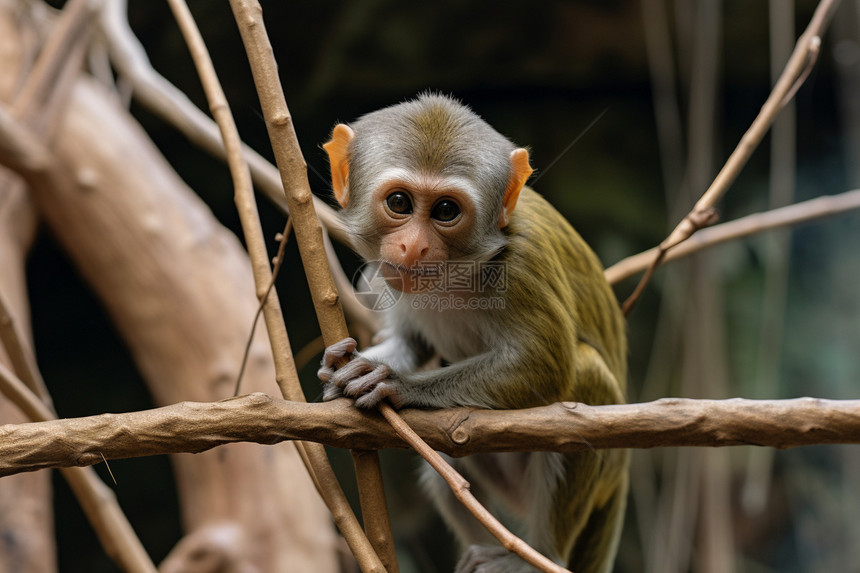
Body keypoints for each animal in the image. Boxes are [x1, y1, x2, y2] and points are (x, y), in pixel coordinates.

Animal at [320, 94, 628, 572]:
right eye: (399, 203)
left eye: (446, 211)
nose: (413, 246)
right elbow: (412, 343)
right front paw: (353, 365)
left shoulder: (522, 265)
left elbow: (547, 365)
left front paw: (398, 385)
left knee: (585, 378)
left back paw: (535, 557)